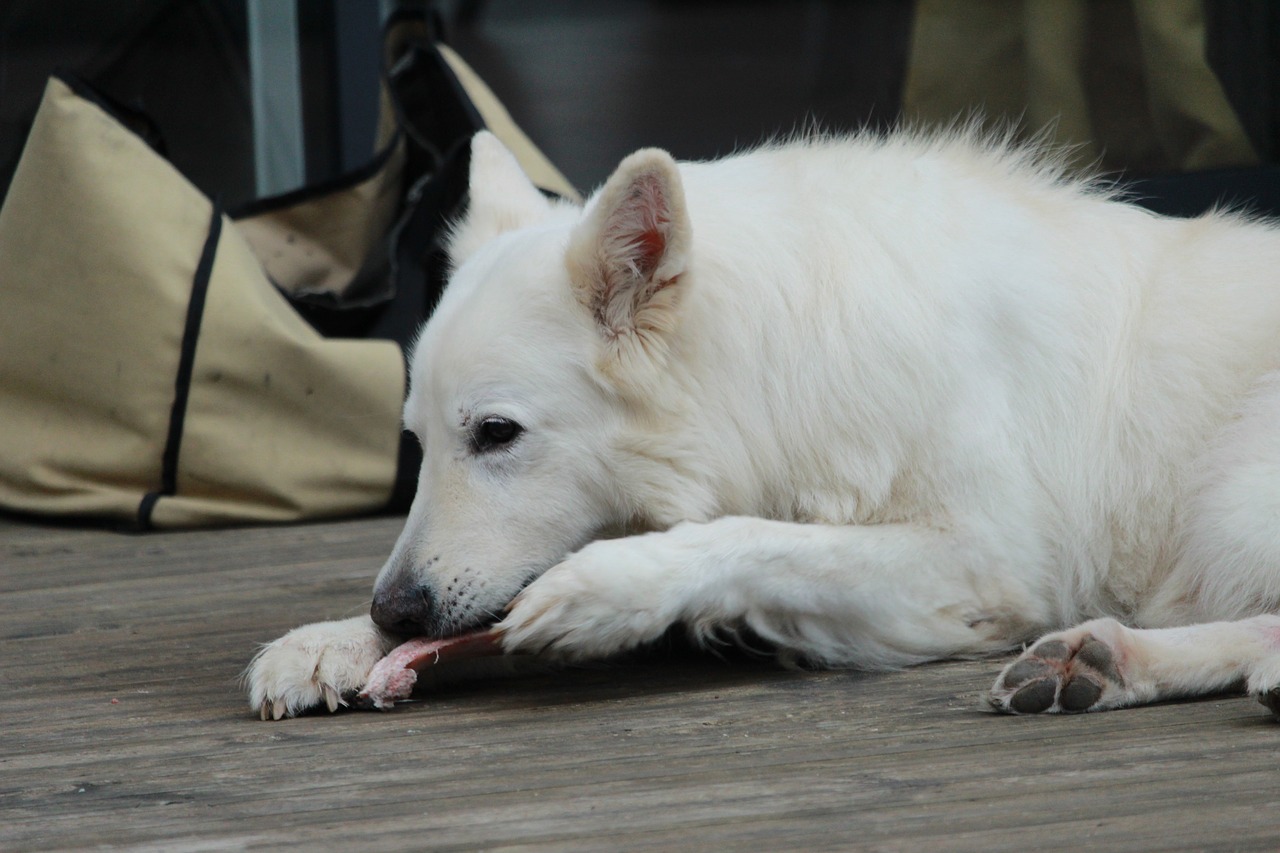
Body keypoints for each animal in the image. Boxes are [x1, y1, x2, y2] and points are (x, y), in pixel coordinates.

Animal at [244, 128, 1280, 717]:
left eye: (496, 434)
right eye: (419, 443)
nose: (394, 609)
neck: (777, 360)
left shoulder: (985, 564)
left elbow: (755, 537)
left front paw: (609, 589)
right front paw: (335, 640)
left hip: (1231, 494)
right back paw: (1101, 659)